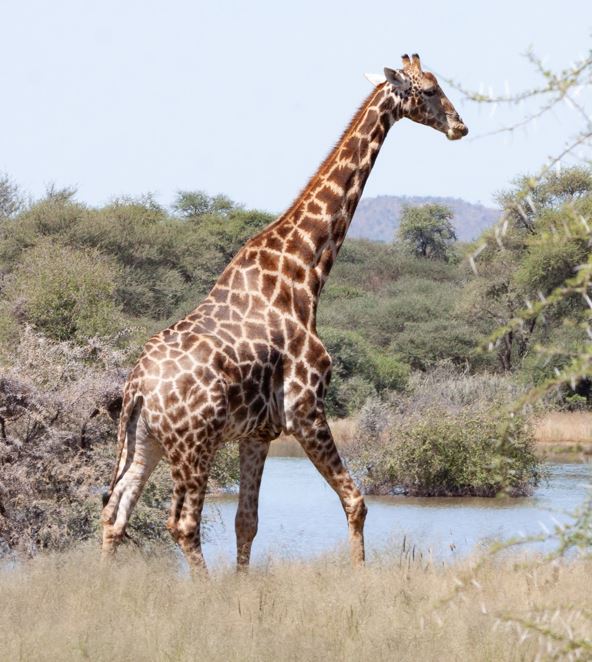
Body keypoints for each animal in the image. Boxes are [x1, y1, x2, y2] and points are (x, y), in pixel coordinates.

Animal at [101, 53, 468, 571]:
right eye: (431, 90)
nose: (460, 126)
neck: (303, 274)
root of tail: (136, 388)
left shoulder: (258, 432)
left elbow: (247, 522)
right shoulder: (306, 409)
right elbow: (356, 501)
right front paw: (360, 577)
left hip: (144, 442)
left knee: (115, 514)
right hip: (193, 444)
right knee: (183, 523)